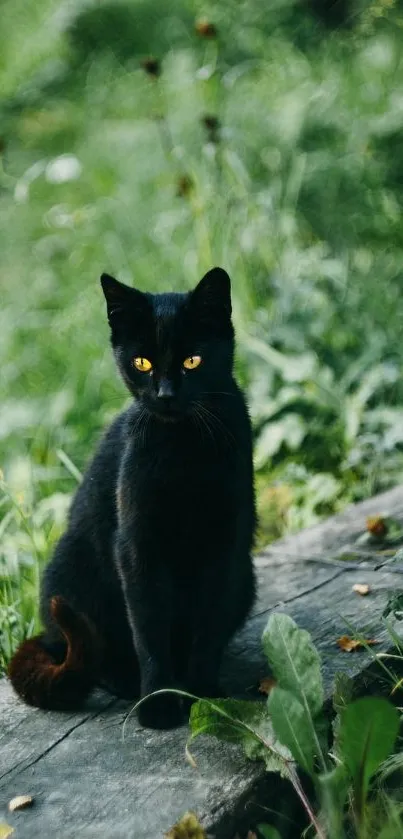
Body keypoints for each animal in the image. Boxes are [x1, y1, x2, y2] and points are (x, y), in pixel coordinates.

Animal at [7, 268, 258, 728]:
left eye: (192, 360)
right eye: (142, 363)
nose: (165, 395)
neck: (183, 450)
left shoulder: (224, 545)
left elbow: (208, 627)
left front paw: (204, 696)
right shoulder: (138, 547)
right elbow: (149, 629)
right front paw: (159, 703)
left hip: (246, 577)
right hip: (72, 573)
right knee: (95, 654)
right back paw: (127, 682)